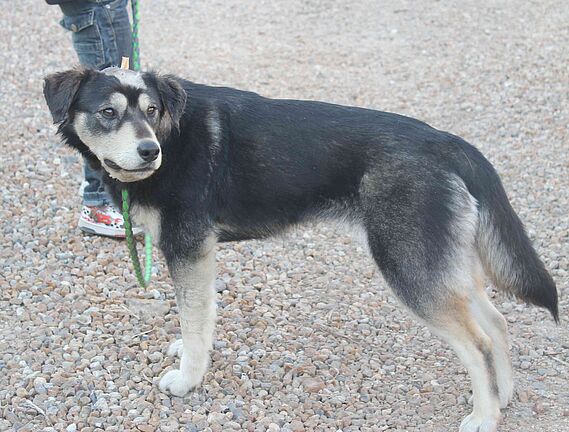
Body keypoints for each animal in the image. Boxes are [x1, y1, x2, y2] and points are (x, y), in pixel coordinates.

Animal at [42, 67, 556, 432]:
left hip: (411, 268)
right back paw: (504, 395)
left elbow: (193, 318)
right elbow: (200, 318)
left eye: (151, 111)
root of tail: (449, 144)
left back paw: (484, 416)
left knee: (479, 342)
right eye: (109, 113)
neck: (174, 131)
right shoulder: (198, 254)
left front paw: (188, 379)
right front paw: (191, 355)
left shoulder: (188, 249)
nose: (150, 151)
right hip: (442, 264)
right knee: (498, 322)